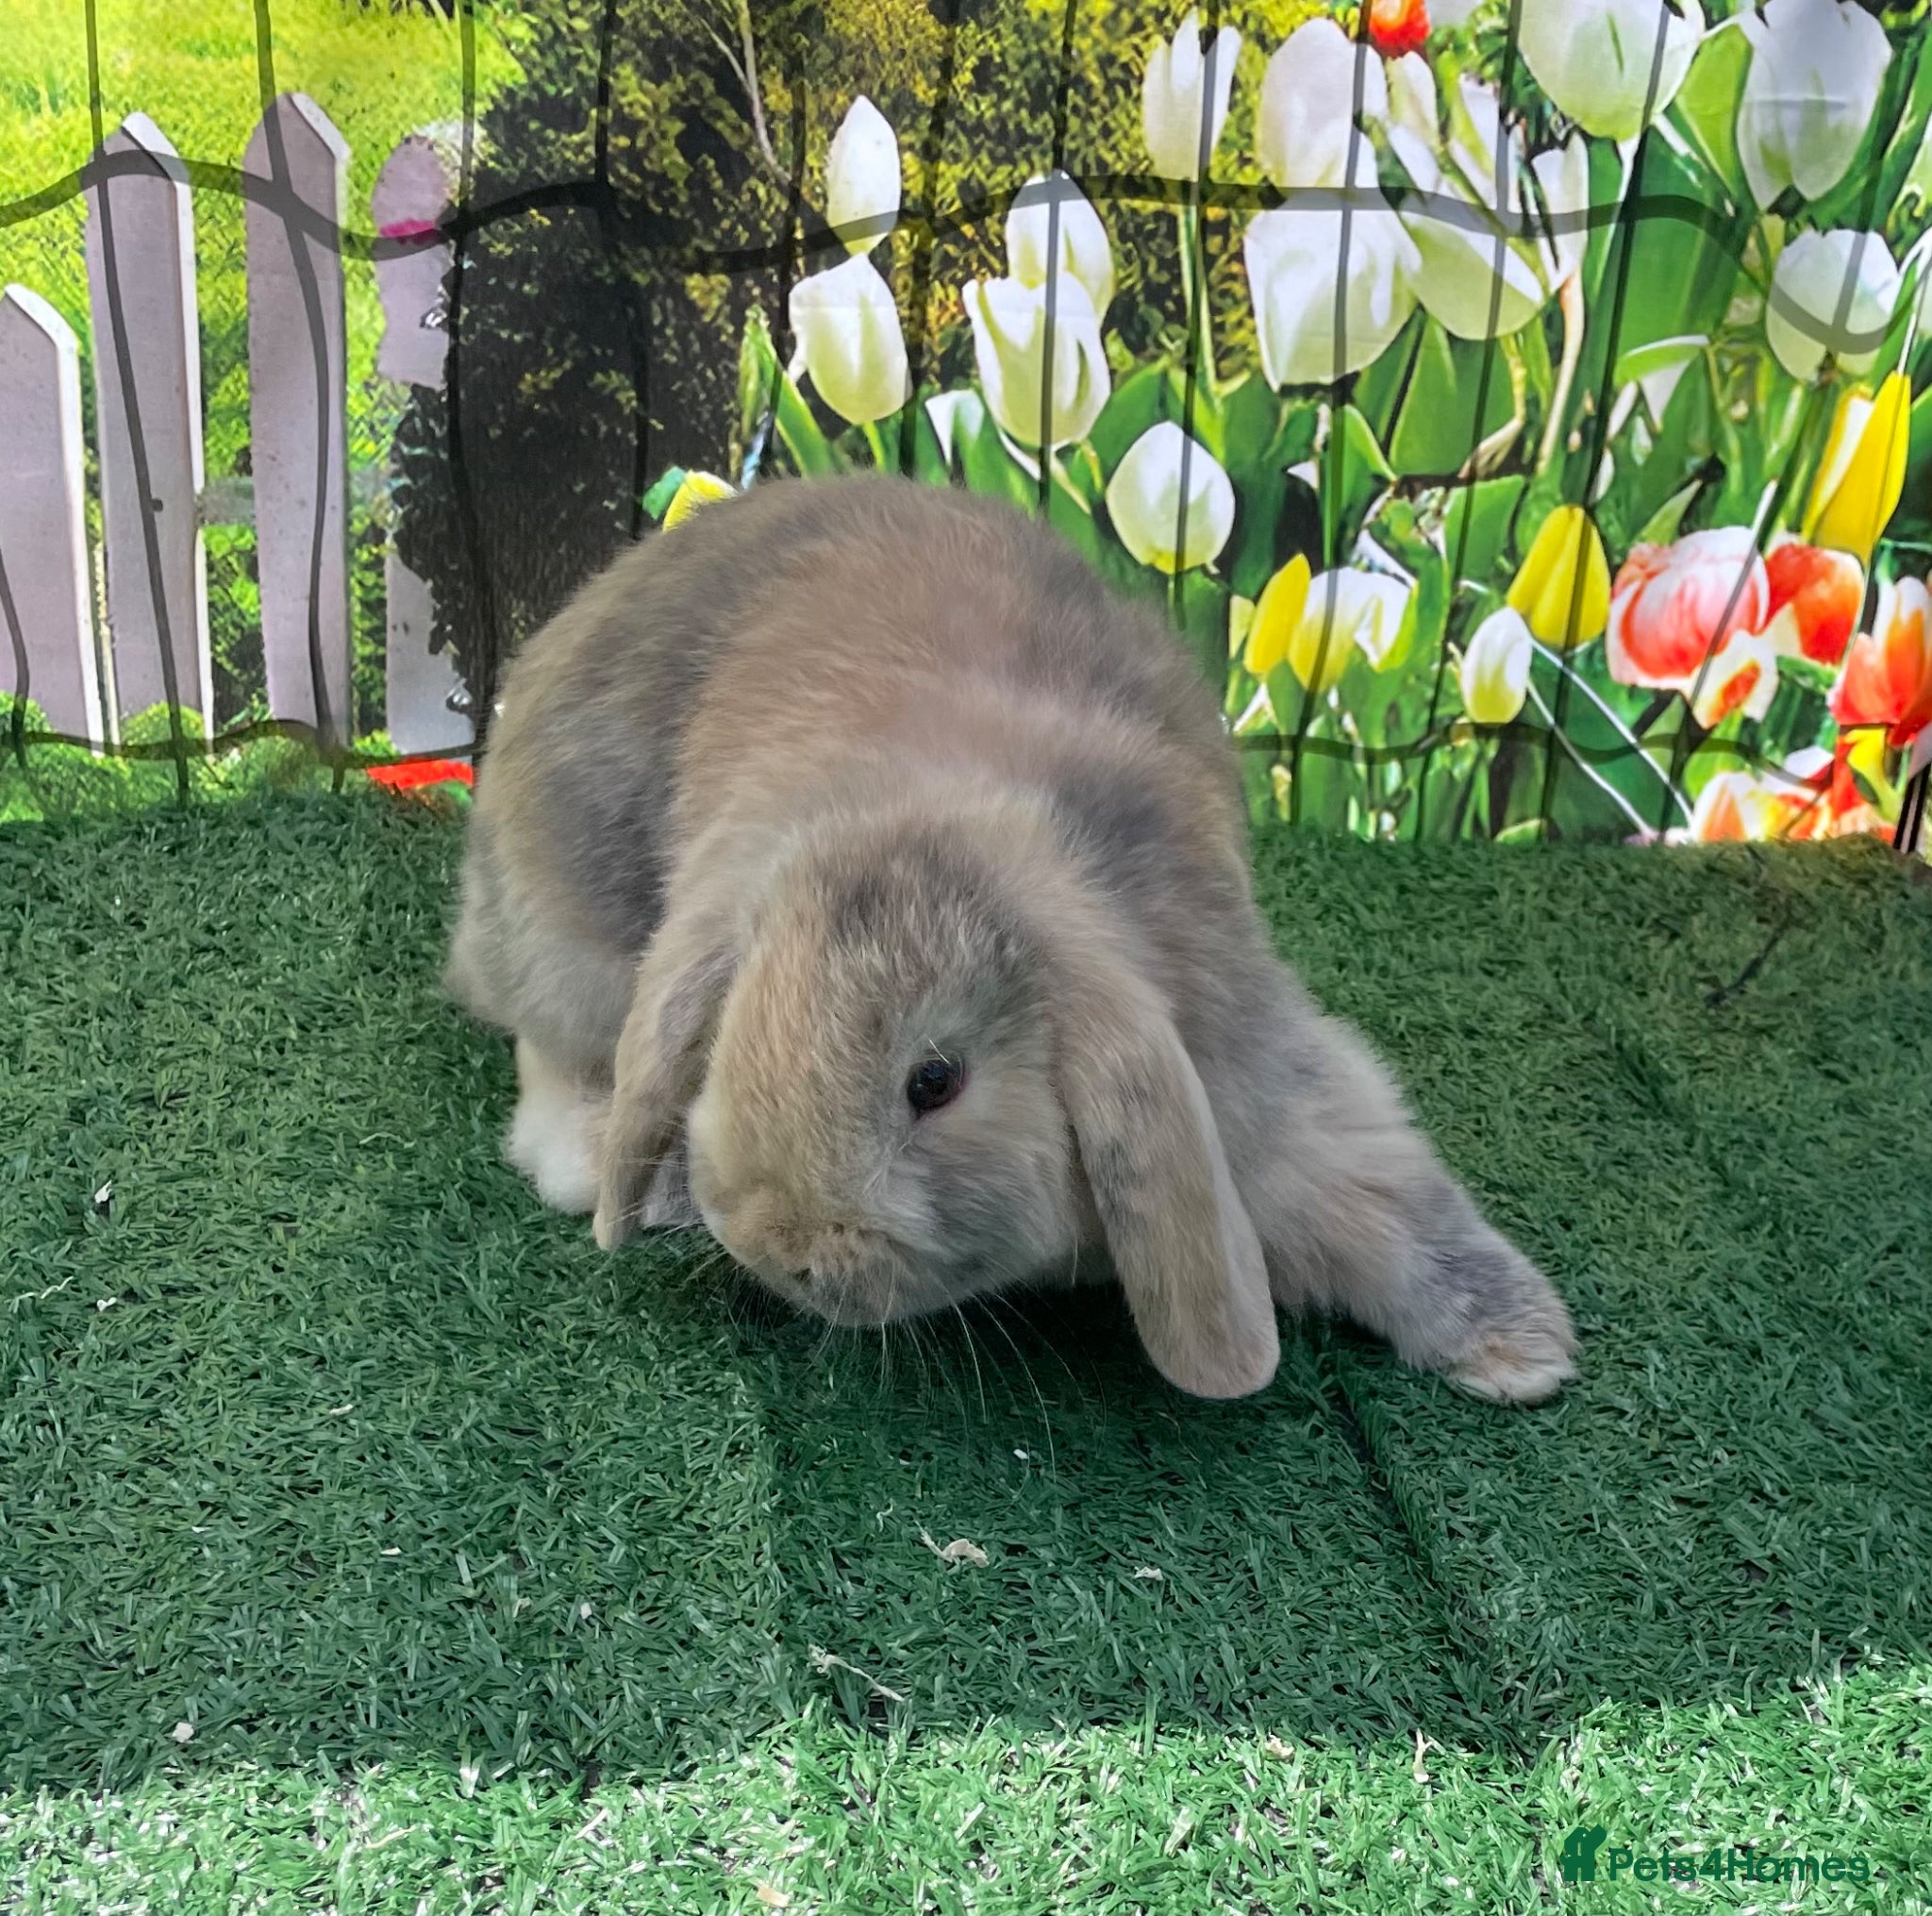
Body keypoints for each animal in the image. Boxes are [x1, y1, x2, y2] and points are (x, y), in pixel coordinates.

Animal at [445, 474, 1577, 1403]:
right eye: (726, 1043)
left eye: (935, 1082)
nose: (782, 1249)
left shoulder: (1260, 1082)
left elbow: (1381, 1198)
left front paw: (1526, 1352)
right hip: (570, 945)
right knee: (547, 1054)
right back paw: (603, 1161)